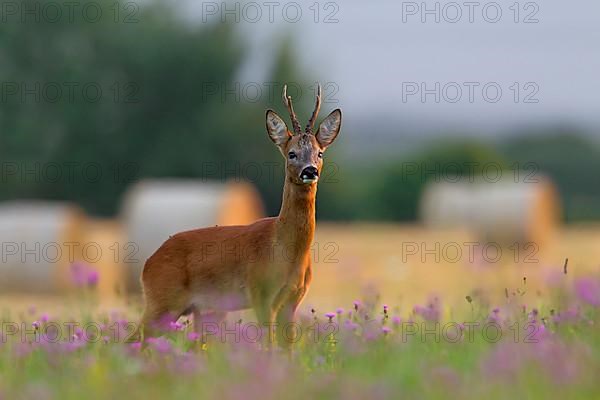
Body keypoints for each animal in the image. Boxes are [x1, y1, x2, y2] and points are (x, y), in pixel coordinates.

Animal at [137, 83, 342, 348]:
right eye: (292, 153)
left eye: (319, 153)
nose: (310, 171)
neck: (284, 249)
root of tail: (148, 264)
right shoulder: (260, 293)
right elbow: (268, 347)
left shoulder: (293, 300)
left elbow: (287, 350)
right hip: (163, 301)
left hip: (198, 310)